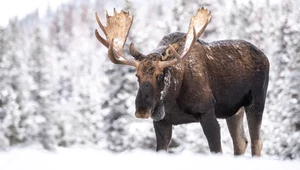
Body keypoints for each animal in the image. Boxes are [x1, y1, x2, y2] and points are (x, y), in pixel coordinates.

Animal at [95, 7, 270, 157]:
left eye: (160, 75)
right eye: (137, 75)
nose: (142, 109)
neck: (173, 97)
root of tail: (265, 57)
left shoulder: (207, 112)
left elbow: (217, 150)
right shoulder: (162, 122)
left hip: (256, 101)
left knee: (256, 142)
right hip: (234, 111)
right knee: (241, 141)